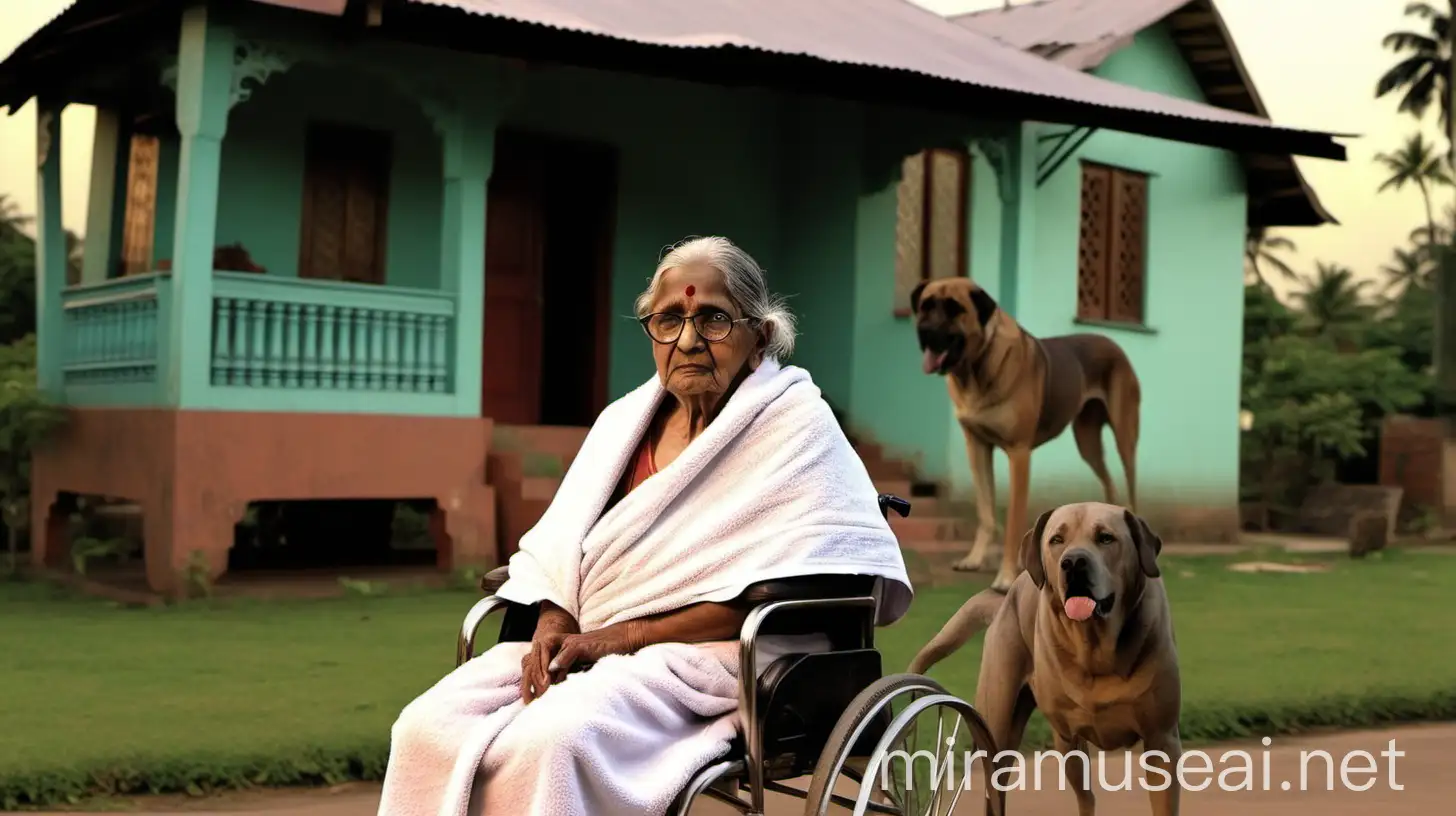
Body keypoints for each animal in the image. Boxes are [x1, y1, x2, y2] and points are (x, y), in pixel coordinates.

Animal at [908, 276, 1135, 588]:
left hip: (1125, 436)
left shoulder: (1019, 453)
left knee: (1130, 486)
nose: (925, 332)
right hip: (1087, 442)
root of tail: (1111, 340)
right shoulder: (976, 446)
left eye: (955, 309)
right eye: (925, 306)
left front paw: (1005, 576)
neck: (976, 368)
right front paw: (974, 559)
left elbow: (1014, 522)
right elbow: (986, 512)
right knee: (1109, 485)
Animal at [908, 504, 1182, 816]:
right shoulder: (1067, 737)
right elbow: (1084, 793)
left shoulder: (1161, 738)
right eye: (1057, 540)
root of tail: (1005, 598)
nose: (1073, 562)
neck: (1096, 649)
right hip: (996, 724)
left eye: (1106, 538)